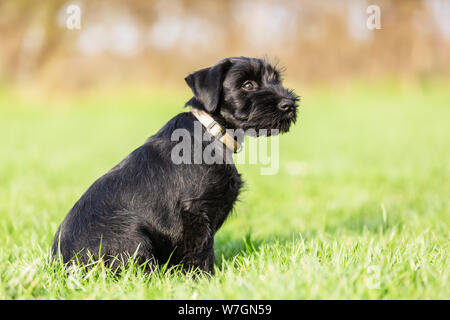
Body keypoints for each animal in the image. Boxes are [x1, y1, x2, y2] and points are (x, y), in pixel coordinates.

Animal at [51, 57, 298, 272]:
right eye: (248, 84)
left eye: (276, 80)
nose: (289, 104)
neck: (212, 131)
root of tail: (61, 265)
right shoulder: (194, 214)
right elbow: (200, 250)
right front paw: (202, 278)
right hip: (129, 233)